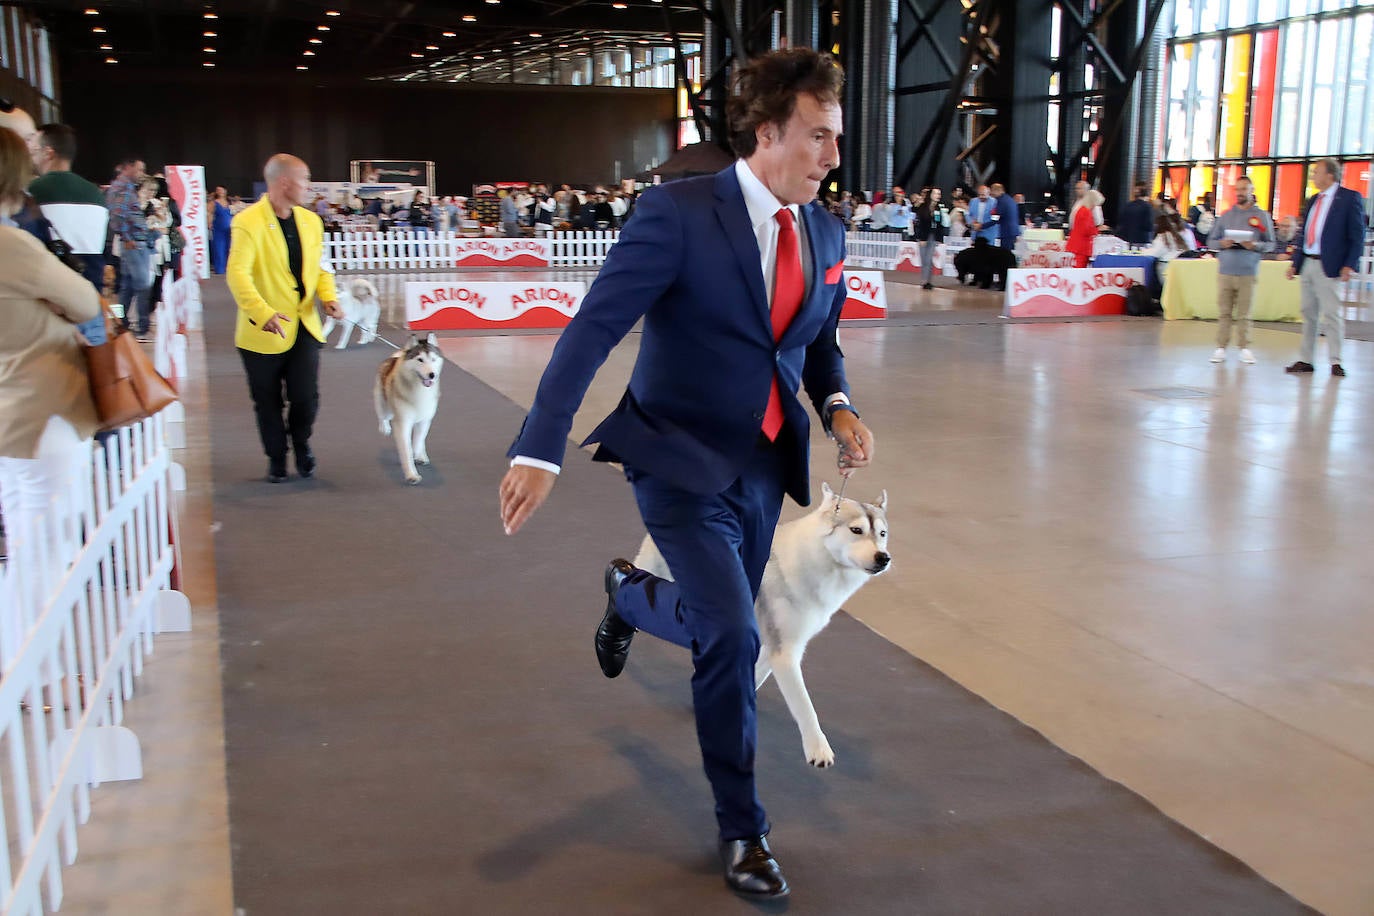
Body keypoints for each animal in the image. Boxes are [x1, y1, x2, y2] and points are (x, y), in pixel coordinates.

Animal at [373, 333, 442, 483]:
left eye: (433, 359)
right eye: (420, 360)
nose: (432, 374)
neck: (419, 389)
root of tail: (394, 357)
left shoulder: (424, 420)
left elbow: (418, 441)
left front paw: (418, 455)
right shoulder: (403, 423)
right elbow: (407, 449)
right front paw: (412, 475)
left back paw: (422, 455)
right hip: (383, 402)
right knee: (383, 415)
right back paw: (384, 427)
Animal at [634, 483, 890, 769]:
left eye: (882, 534)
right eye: (856, 530)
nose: (884, 558)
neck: (815, 562)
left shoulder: (777, 647)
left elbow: (754, 677)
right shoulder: (785, 653)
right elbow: (805, 705)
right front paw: (818, 748)